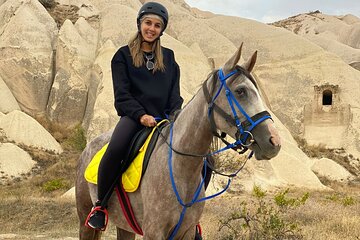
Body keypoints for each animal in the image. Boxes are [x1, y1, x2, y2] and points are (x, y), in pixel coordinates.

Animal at [76, 44, 282, 239]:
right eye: (240, 91)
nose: (274, 141)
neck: (180, 168)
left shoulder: (186, 231)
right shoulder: (153, 232)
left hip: (124, 226)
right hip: (85, 220)